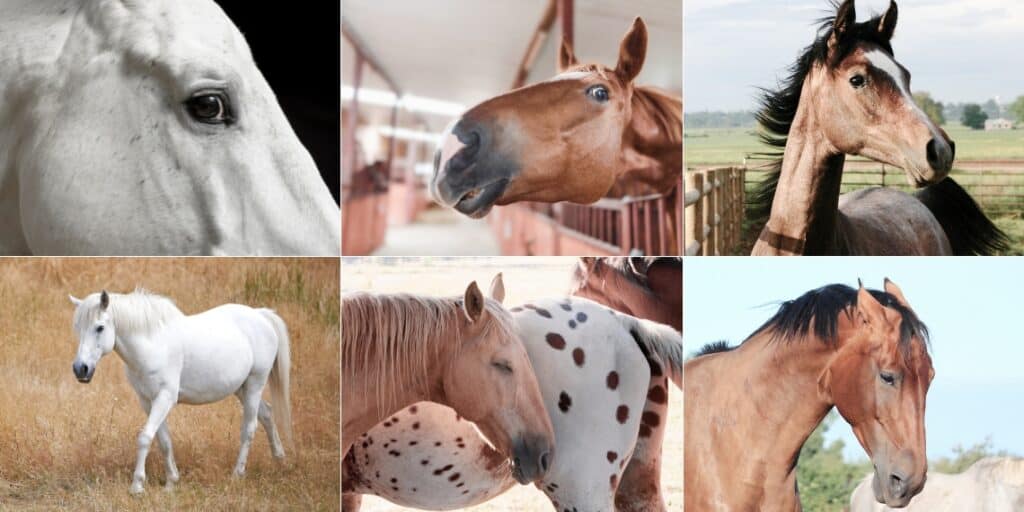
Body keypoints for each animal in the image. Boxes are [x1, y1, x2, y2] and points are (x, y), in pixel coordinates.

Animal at [68, 289, 292, 495]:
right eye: (78, 327)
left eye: (99, 327)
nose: (80, 369)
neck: (153, 345)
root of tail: (261, 315)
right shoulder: (147, 400)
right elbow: (163, 440)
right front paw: (171, 482)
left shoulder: (165, 398)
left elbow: (145, 437)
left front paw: (137, 486)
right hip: (241, 388)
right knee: (267, 414)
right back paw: (280, 460)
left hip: (255, 383)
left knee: (249, 428)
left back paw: (237, 474)